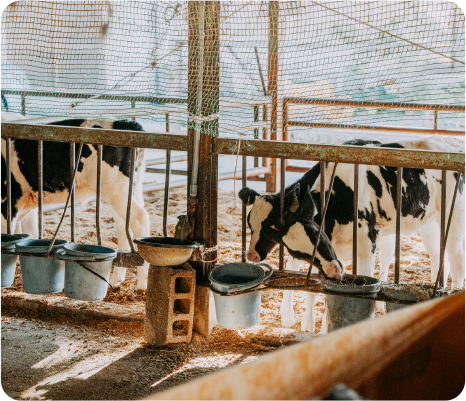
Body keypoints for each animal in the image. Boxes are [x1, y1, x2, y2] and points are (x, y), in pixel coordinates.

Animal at [0, 117, 150, 290]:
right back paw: (116, 281)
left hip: (116, 190)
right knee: (124, 228)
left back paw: (142, 285)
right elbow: (30, 235)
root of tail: (124, 123)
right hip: (122, 191)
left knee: (140, 219)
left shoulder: (6, 204)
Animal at [242, 137, 464, 332]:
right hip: (430, 223)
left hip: (454, 216)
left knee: (456, 259)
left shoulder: (366, 242)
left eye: (269, 226)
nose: (251, 255)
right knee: (438, 257)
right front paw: (304, 323)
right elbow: (313, 285)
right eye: (251, 225)